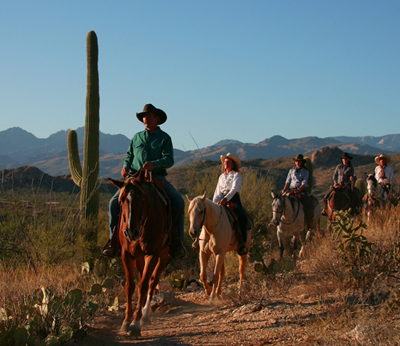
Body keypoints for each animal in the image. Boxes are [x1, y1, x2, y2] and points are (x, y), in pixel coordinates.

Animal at [109, 170, 170, 336]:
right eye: (122, 200)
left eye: (141, 199)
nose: (131, 232)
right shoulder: (126, 255)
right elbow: (130, 286)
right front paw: (126, 321)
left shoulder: (153, 254)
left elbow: (143, 285)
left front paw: (136, 323)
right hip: (138, 257)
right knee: (143, 275)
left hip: (163, 255)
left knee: (152, 281)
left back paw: (145, 315)